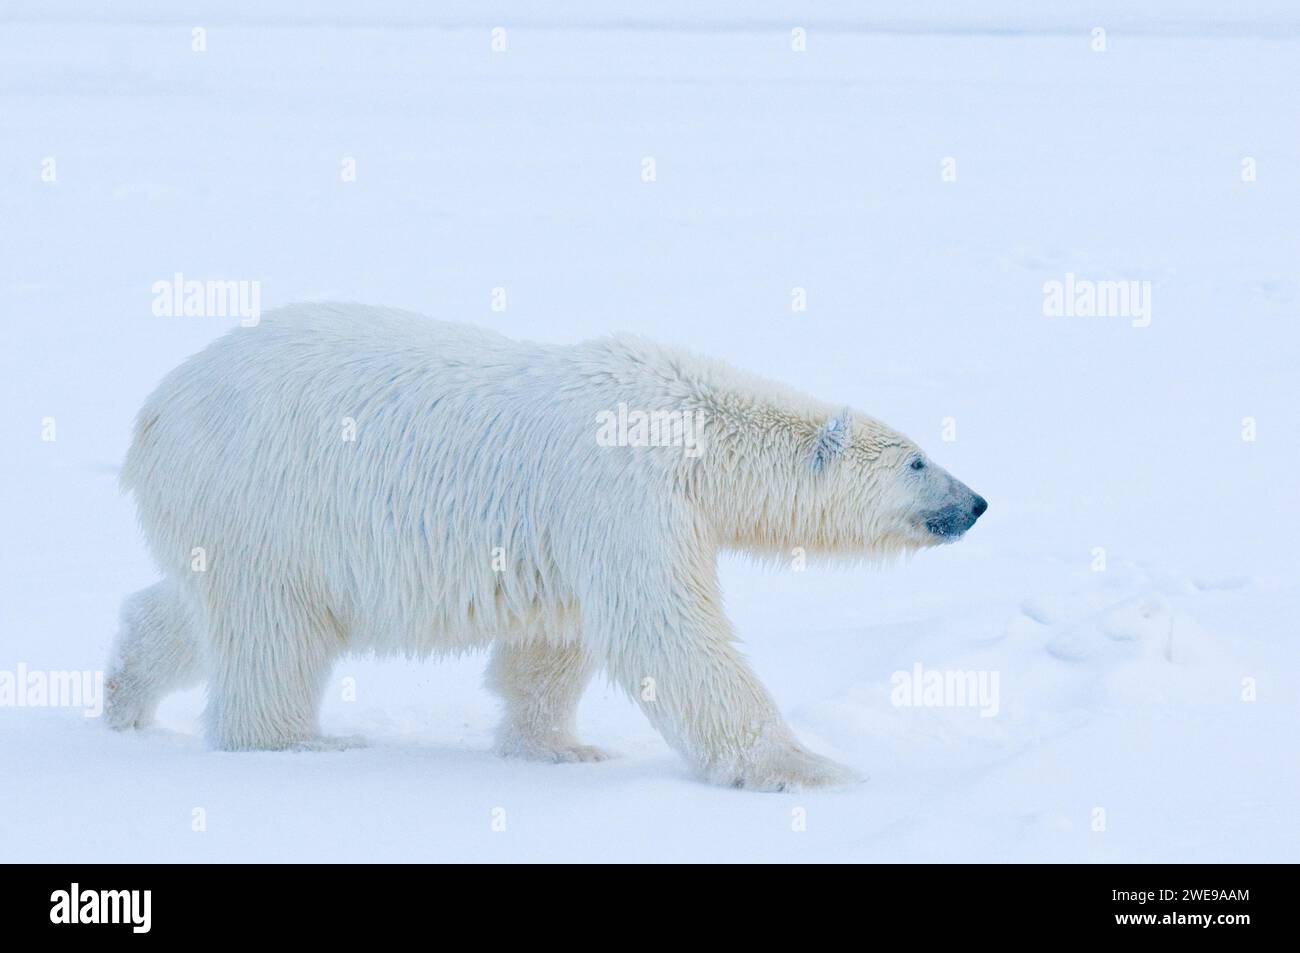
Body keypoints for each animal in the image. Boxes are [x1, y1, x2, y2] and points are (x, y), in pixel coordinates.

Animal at [109, 304, 982, 790]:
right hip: (268, 494)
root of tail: (152, 410)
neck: (688, 424)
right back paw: (303, 740)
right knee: (275, 629)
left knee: (192, 610)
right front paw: (808, 768)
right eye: (917, 461)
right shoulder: (620, 490)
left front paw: (561, 748)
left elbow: (554, 640)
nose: (975, 502)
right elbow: (666, 631)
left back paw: (125, 695)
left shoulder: (573, 527)